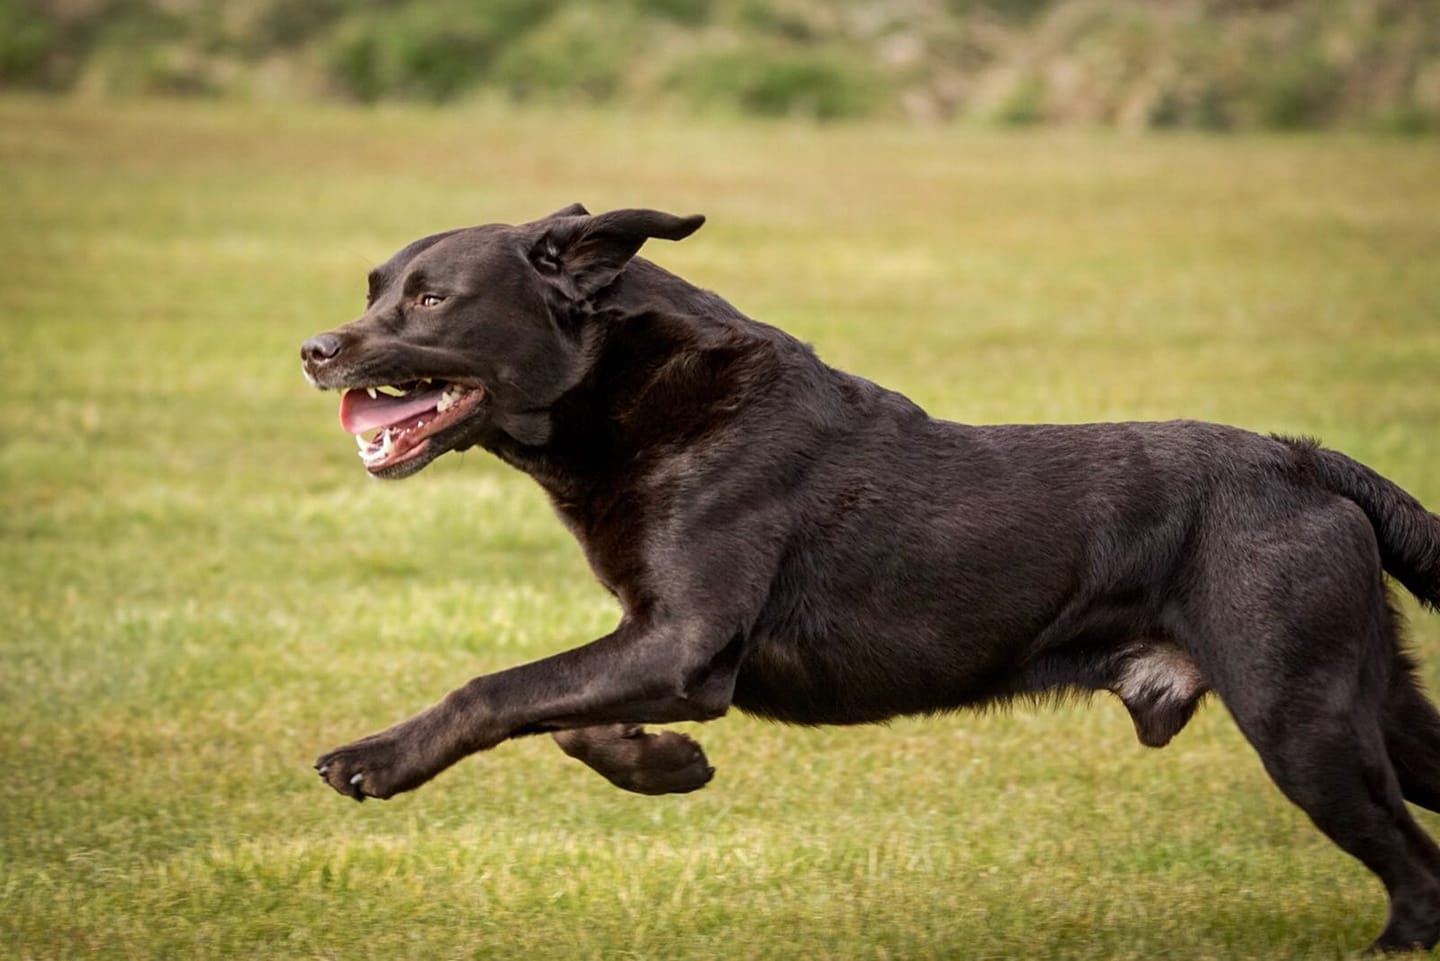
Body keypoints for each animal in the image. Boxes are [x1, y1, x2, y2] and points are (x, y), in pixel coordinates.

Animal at [298, 204, 1440, 956]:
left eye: (432, 299)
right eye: (372, 288)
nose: (313, 348)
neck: (635, 390)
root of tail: (1306, 461)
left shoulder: (684, 644)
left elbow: (496, 688)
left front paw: (374, 757)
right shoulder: (651, 641)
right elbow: (563, 714)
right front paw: (663, 764)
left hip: (1302, 719)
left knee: (1416, 874)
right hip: (1374, 706)